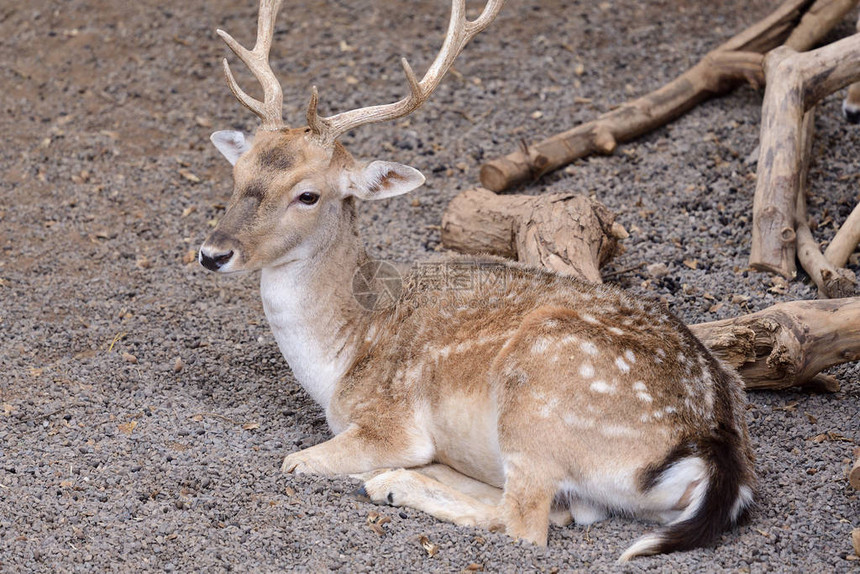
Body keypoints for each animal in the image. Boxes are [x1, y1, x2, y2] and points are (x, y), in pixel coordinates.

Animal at [198, 0, 756, 560]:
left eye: (308, 195)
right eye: (237, 174)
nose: (212, 253)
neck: (339, 358)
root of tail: (716, 452)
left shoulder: (390, 420)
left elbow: (298, 460)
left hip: (539, 398)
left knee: (525, 522)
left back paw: (392, 483)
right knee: (567, 507)